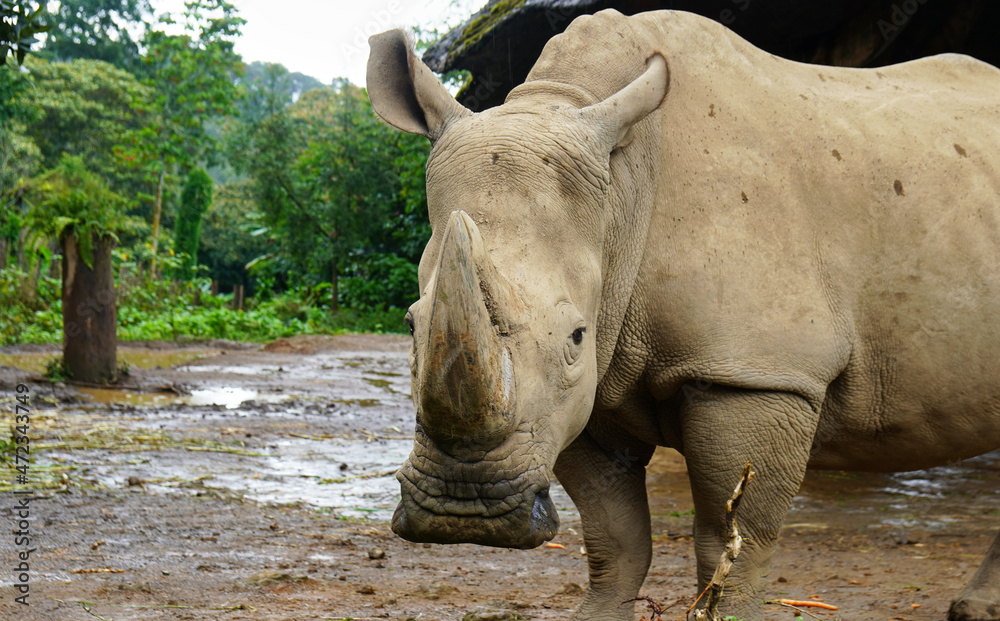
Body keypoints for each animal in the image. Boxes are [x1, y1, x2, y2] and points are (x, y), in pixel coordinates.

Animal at [366, 9, 1000, 621]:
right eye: (411, 323)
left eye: (575, 336)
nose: (464, 509)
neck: (623, 193)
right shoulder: (590, 388)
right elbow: (613, 535)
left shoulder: (755, 373)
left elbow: (734, 538)